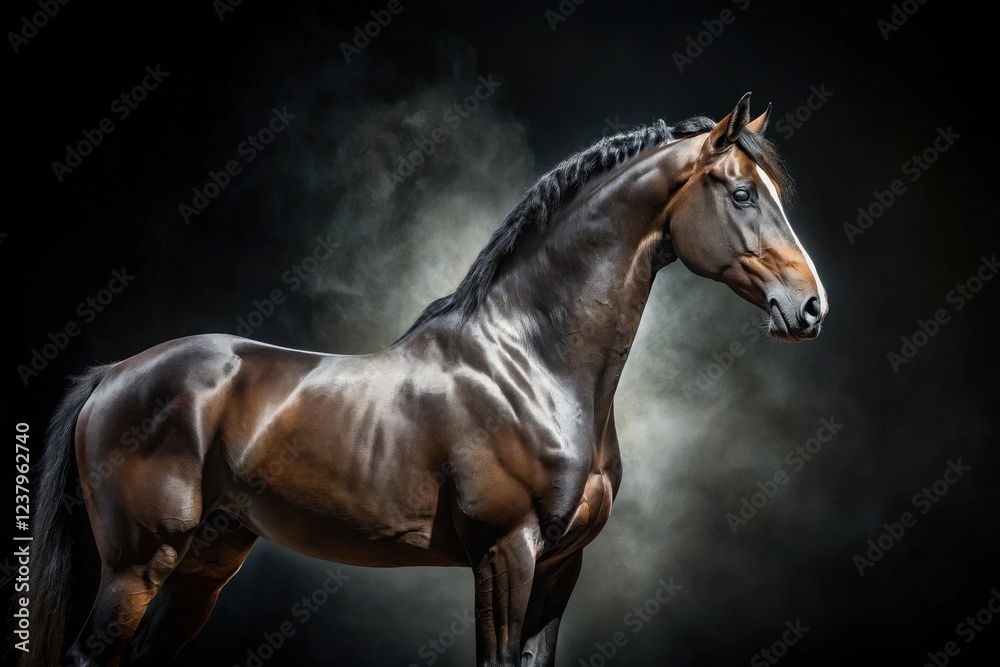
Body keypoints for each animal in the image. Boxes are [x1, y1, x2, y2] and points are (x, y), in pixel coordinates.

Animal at [26, 93, 828, 667]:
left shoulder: (562, 566)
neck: (533, 366)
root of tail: (113, 374)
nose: (812, 306)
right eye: (741, 193)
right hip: (137, 564)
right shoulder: (506, 553)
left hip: (203, 563)